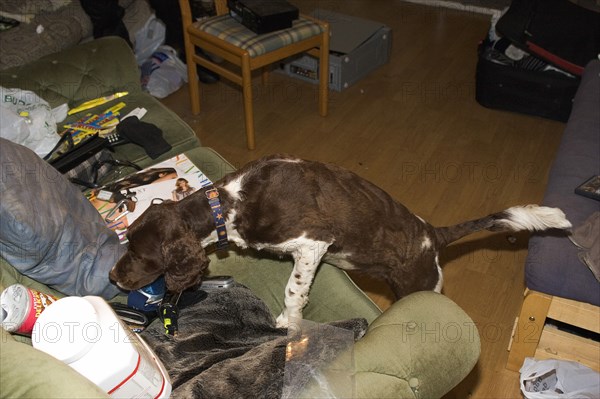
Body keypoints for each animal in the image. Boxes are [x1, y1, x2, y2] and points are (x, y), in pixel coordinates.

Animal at [110, 155, 576, 326]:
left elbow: (294, 290)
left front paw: (289, 322)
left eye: (139, 252)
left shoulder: (313, 241)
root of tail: (432, 233)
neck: (228, 201)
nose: (114, 278)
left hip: (420, 286)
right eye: (126, 241)